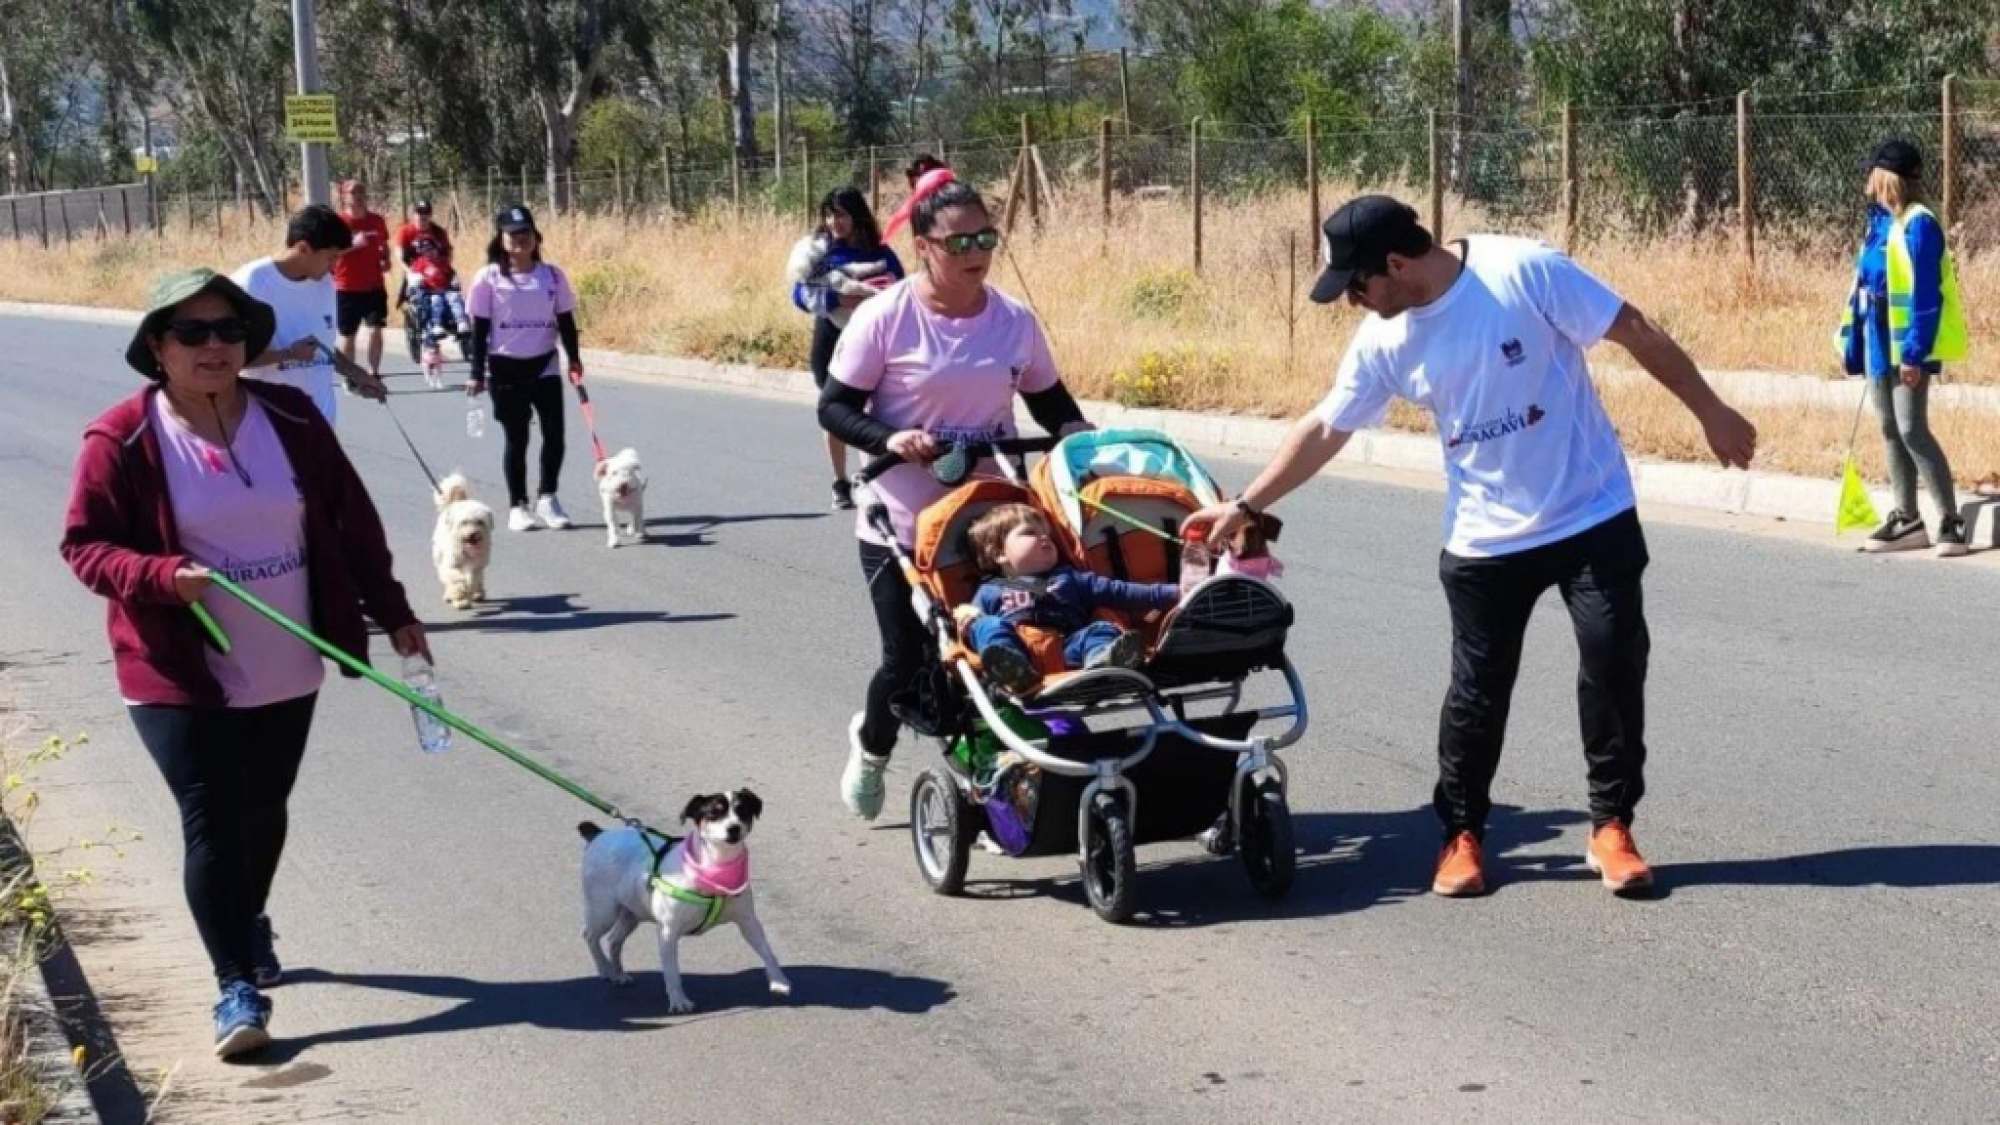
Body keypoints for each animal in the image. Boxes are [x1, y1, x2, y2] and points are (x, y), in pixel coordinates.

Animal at [426, 472, 492, 612]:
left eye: (480, 522)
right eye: (464, 522)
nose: (473, 534)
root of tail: (457, 502)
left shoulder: (477, 566)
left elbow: (473, 579)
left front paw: (469, 592)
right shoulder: (451, 566)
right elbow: (457, 581)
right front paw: (461, 599)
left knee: (479, 579)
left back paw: (478, 593)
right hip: (439, 555)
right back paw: (450, 595)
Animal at [576, 784, 792, 1012]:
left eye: (743, 811)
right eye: (713, 813)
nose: (734, 828)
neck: (713, 870)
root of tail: (599, 835)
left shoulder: (748, 922)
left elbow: (767, 952)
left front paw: (779, 981)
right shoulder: (667, 932)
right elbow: (672, 972)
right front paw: (678, 1001)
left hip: (631, 913)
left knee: (614, 940)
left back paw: (618, 974)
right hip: (604, 910)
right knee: (589, 935)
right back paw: (605, 969)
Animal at [848, 424, 1304, 916]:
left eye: (1038, 529)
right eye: (1024, 532)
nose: (1043, 540)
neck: (1032, 581)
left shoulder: (1090, 586)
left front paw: (1260, 828)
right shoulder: (984, 602)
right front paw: (1107, 866)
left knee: (1101, 636)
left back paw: (1112, 655)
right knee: (990, 653)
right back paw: (1010, 670)